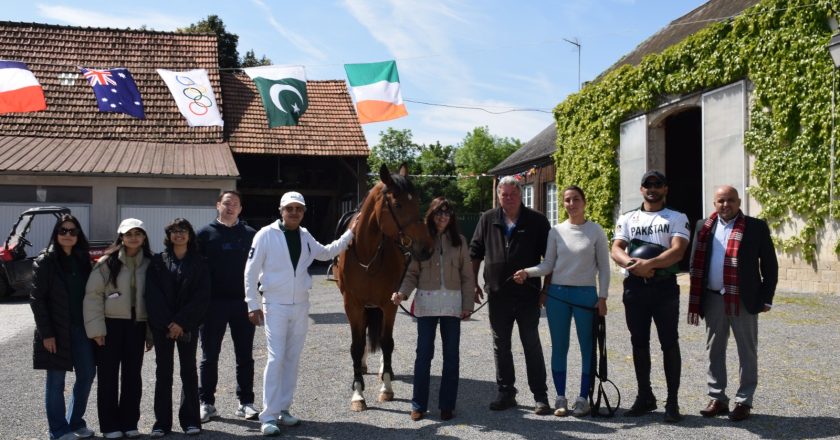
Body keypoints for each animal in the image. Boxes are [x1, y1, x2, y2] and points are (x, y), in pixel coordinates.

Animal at [334, 163, 434, 410]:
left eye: (417, 201)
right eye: (398, 204)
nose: (426, 248)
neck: (367, 253)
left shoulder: (389, 303)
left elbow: (387, 343)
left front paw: (386, 388)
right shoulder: (352, 305)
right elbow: (356, 345)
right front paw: (358, 393)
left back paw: (382, 370)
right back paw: (362, 366)